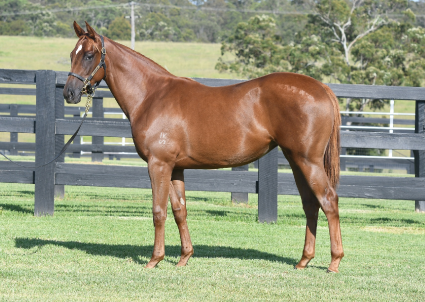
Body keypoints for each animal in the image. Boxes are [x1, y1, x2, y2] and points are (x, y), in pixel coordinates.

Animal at [63, 20, 342, 272]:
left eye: (89, 55)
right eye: (71, 54)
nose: (69, 93)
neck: (152, 95)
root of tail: (321, 88)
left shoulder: (158, 165)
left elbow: (158, 211)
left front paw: (155, 260)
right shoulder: (175, 168)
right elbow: (179, 210)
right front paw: (184, 257)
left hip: (308, 161)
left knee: (328, 200)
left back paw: (334, 262)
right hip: (297, 161)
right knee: (311, 204)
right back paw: (304, 260)